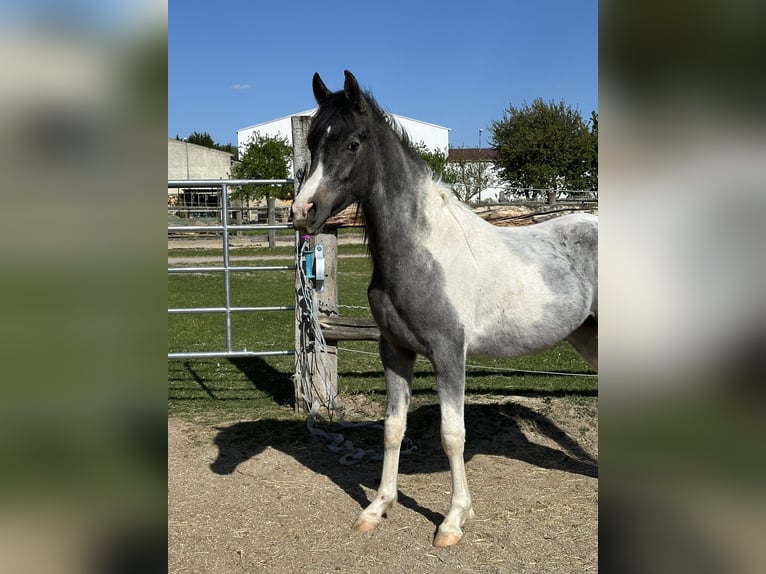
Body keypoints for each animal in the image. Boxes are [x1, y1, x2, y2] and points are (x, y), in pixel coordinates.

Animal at [292, 70, 598, 547]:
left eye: (353, 143)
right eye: (312, 143)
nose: (303, 211)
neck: (422, 249)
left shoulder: (449, 353)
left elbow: (452, 434)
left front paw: (454, 520)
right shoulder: (395, 351)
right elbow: (392, 428)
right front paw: (377, 508)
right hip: (588, 335)